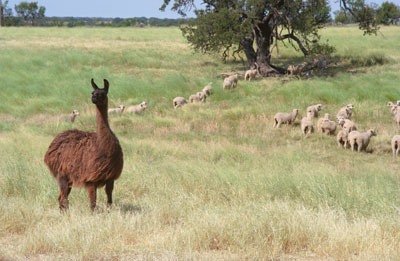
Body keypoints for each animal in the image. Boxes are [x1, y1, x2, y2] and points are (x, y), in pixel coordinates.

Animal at [43, 78, 123, 210]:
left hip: (68, 177)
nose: (93, 98)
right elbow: (93, 204)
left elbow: (109, 201)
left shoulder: (110, 177)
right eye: (93, 92)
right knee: (63, 198)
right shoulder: (90, 178)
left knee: (61, 198)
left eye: (103, 93)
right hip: (62, 174)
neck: (102, 147)